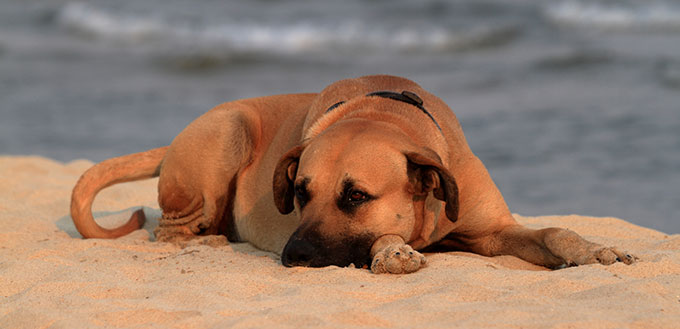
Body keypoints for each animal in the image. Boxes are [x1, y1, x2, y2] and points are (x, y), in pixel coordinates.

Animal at [71, 74, 636, 272]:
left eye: (356, 196)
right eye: (299, 193)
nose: (292, 256)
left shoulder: (493, 231)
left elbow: (556, 231)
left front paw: (592, 250)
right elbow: (384, 238)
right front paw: (391, 250)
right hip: (227, 133)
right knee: (167, 230)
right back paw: (208, 241)